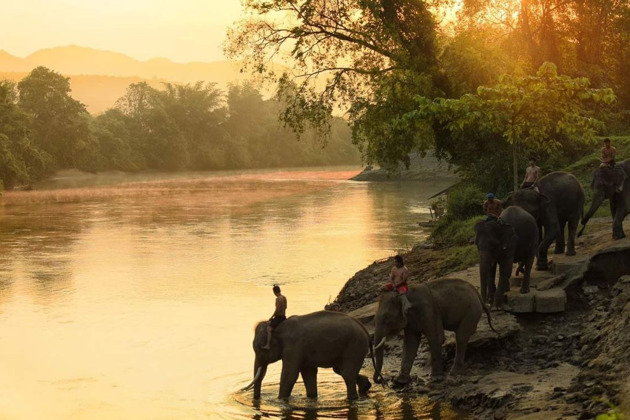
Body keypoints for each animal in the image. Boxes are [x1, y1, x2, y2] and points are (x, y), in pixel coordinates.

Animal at [243, 312, 378, 400]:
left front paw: (280, 400)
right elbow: (308, 373)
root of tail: (365, 330)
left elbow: (289, 375)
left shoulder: (293, 347)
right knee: (341, 370)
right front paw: (312, 397)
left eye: (260, 349)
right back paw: (365, 387)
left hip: (354, 347)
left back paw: (353, 398)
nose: (256, 400)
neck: (277, 327)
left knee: (347, 373)